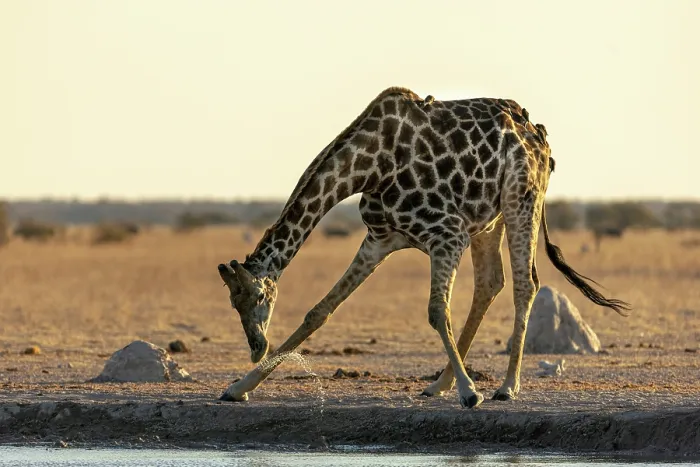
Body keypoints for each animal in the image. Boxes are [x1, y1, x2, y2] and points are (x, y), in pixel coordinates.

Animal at [217, 87, 631, 408]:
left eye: (258, 297)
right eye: (234, 303)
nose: (256, 346)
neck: (369, 165)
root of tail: (540, 135)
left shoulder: (446, 233)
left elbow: (436, 311)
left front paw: (470, 393)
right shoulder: (379, 240)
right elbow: (319, 311)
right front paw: (238, 388)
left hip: (521, 200)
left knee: (525, 283)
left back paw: (505, 387)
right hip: (488, 218)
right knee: (491, 282)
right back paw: (440, 384)